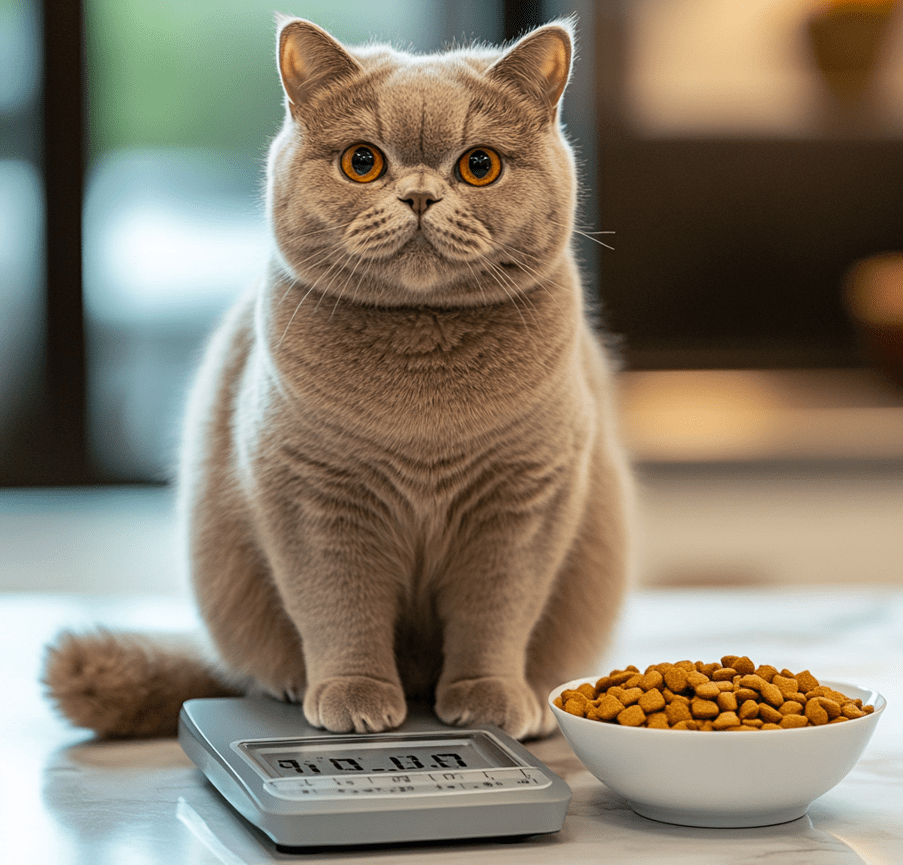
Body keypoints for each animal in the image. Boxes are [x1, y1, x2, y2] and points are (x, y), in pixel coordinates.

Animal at [42, 13, 632, 740]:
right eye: (362, 161)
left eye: (479, 166)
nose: (419, 196)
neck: (422, 395)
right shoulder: (315, 499)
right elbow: (339, 608)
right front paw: (354, 697)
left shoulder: (524, 503)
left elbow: (496, 613)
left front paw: (488, 698)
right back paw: (292, 684)